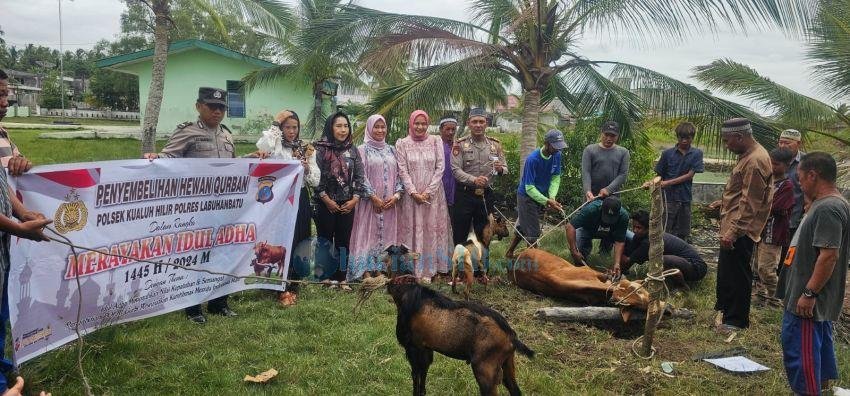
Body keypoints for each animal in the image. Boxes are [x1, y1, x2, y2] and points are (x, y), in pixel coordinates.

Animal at [388, 276, 532, 396]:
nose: (388, 285)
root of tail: (510, 335)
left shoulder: (414, 347)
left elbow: (415, 375)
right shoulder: (426, 349)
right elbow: (423, 373)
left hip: (485, 369)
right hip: (507, 363)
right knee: (515, 390)